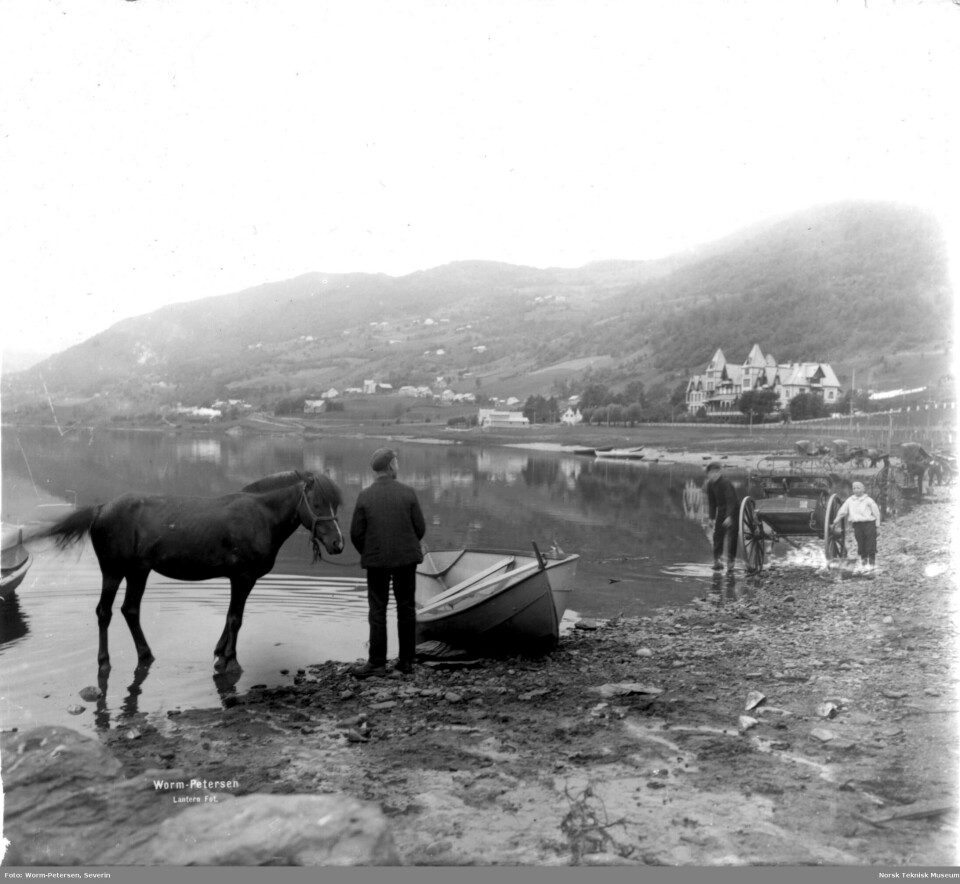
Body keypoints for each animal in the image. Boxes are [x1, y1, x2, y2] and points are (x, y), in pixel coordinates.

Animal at [38, 474, 344, 672]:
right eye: (317, 504)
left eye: (335, 505)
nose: (337, 543)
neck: (260, 516)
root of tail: (102, 509)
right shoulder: (243, 578)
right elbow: (236, 619)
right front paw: (231, 660)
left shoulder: (239, 579)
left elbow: (230, 616)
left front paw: (220, 653)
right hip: (112, 571)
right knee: (105, 612)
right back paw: (105, 661)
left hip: (138, 571)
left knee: (130, 610)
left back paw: (146, 655)